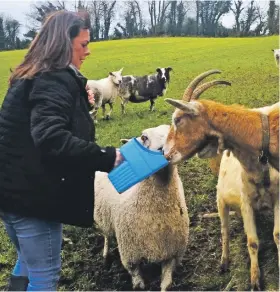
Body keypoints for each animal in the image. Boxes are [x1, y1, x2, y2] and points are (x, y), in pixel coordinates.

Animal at [93, 124, 189, 290]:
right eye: (144, 137)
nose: (167, 150)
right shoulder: (130, 256)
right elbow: (138, 284)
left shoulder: (171, 253)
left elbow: (166, 284)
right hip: (103, 217)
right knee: (107, 235)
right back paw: (105, 255)